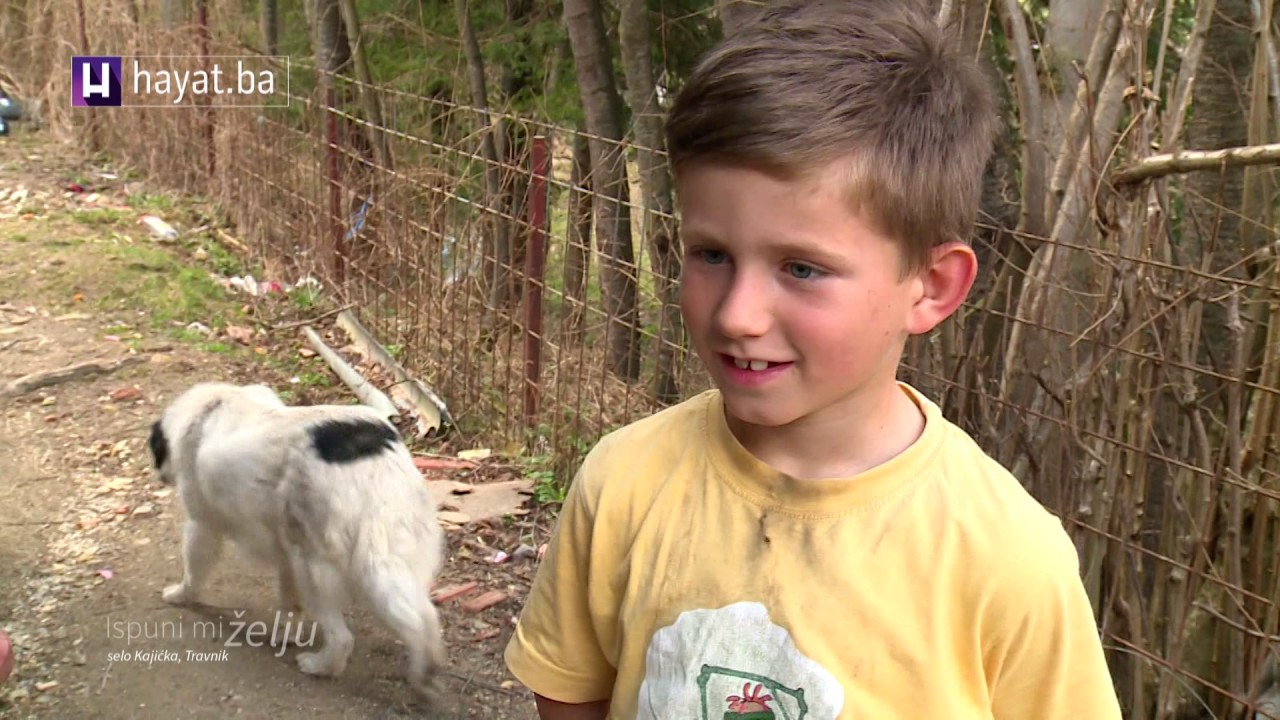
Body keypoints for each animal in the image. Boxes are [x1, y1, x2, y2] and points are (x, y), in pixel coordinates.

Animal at [147, 381, 450, 702]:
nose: (160, 476)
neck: (213, 404)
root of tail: (372, 466)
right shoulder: (285, 550)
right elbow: (289, 602)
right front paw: (286, 634)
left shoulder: (202, 525)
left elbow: (193, 571)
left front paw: (180, 595)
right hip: (384, 554)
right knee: (424, 616)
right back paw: (427, 669)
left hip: (314, 569)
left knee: (343, 638)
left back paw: (320, 666)